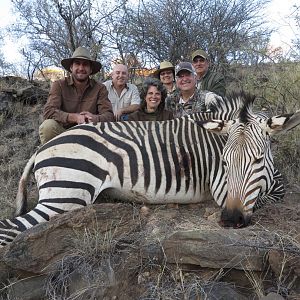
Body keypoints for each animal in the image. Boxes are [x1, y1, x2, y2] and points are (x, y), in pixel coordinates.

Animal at [0, 92, 298, 247]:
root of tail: (43, 148)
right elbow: (274, 192)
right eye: (224, 162)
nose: (231, 219)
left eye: (258, 160)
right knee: (10, 227)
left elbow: (276, 186)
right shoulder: (222, 189)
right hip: (66, 196)